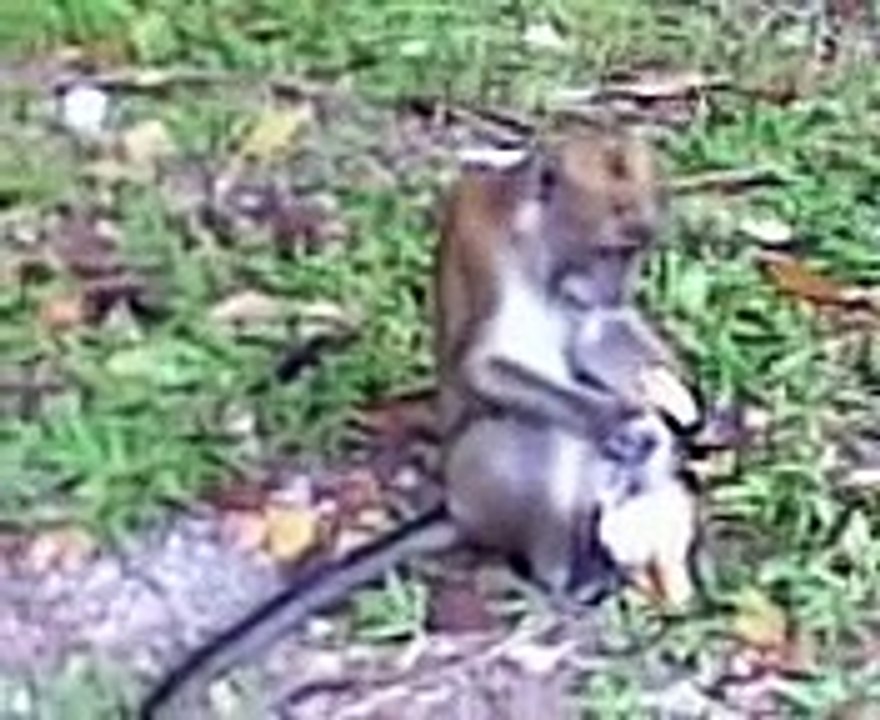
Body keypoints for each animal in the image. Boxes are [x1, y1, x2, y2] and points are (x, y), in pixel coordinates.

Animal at [139, 127, 699, 719]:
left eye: (637, 251)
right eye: (610, 249)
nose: (618, 289)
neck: (536, 238)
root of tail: (455, 506)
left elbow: (596, 338)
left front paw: (674, 395)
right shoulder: (492, 258)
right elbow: (485, 366)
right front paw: (619, 418)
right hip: (482, 484)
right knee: (531, 432)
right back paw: (566, 574)